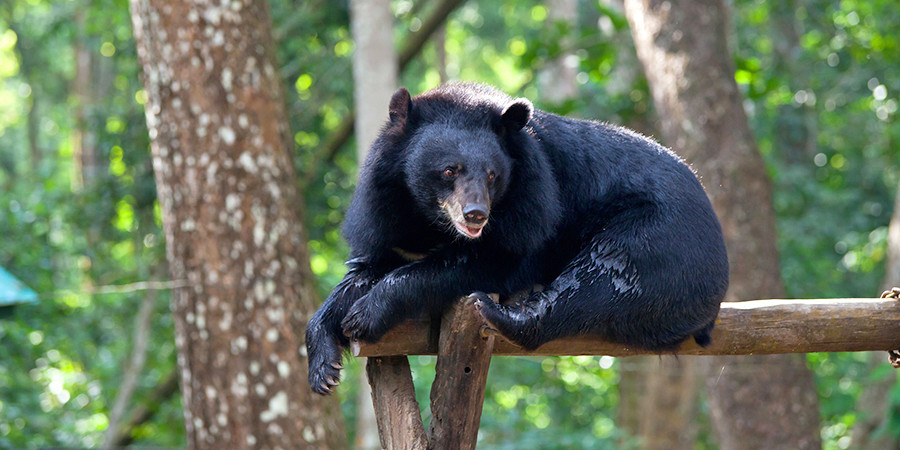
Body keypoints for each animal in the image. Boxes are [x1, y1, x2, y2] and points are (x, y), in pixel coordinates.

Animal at [305, 82, 729, 395]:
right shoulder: (384, 212)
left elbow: (487, 261)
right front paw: (325, 366)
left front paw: (364, 315)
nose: (476, 215)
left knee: (604, 282)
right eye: (449, 170)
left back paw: (501, 312)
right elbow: (364, 269)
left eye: (493, 175)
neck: (429, 221)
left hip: (659, 240)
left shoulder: (530, 209)